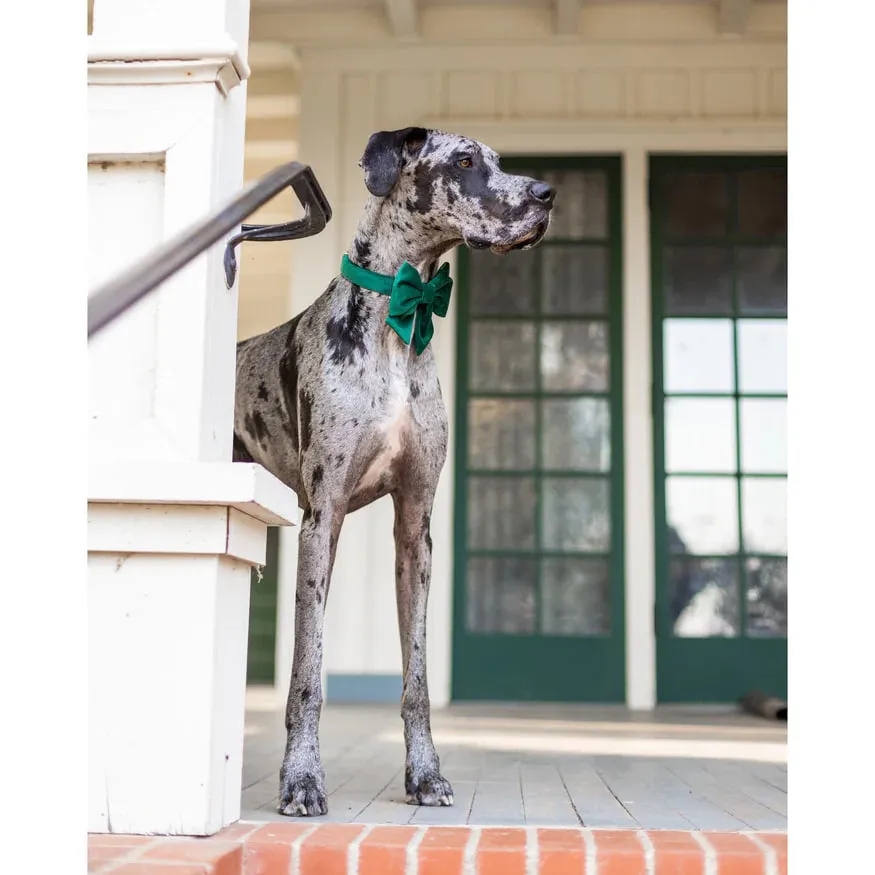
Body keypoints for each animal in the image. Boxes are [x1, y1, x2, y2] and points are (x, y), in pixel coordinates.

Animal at [233, 126, 556, 816]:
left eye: (499, 160)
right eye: (465, 160)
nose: (546, 194)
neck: (397, 322)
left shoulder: (415, 531)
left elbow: (418, 680)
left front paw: (425, 774)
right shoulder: (320, 522)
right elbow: (307, 675)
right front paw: (302, 778)